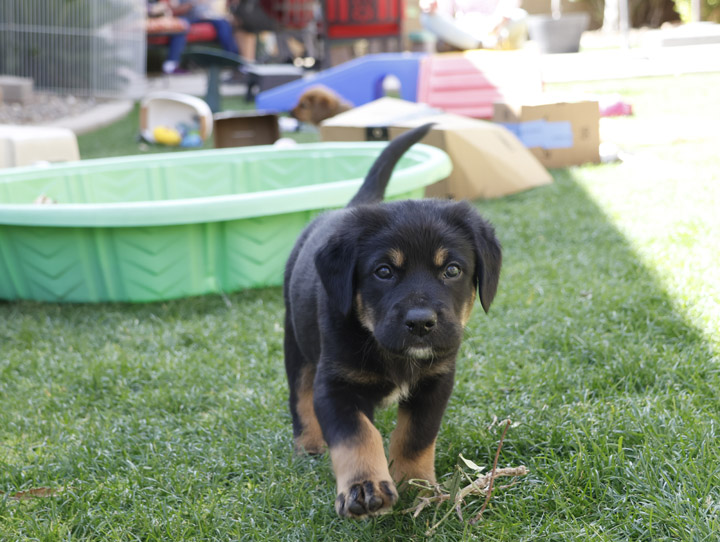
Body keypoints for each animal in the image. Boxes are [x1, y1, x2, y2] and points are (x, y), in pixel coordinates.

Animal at [282, 123, 500, 520]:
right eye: (383, 271)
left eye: (452, 270)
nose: (421, 323)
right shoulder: (335, 384)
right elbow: (357, 434)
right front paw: (364, 487)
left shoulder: (436, 382)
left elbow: (416, 435)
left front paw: (416, 485)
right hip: (295, 340)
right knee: (300, 395)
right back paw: (308, 444)